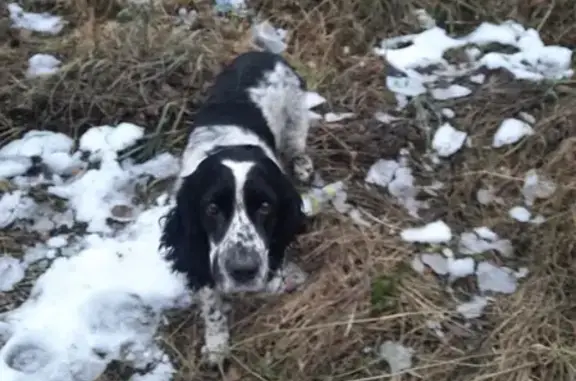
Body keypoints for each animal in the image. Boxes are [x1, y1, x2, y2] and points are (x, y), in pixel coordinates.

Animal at [160, 50, 312, 366]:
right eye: (212, 209)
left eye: (265, 206)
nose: (243, 271)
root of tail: (263, 53)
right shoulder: (199, 249)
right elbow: (212, 304)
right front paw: (217, 346)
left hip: (295, 120)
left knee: (297, 146)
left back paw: (303, 165)